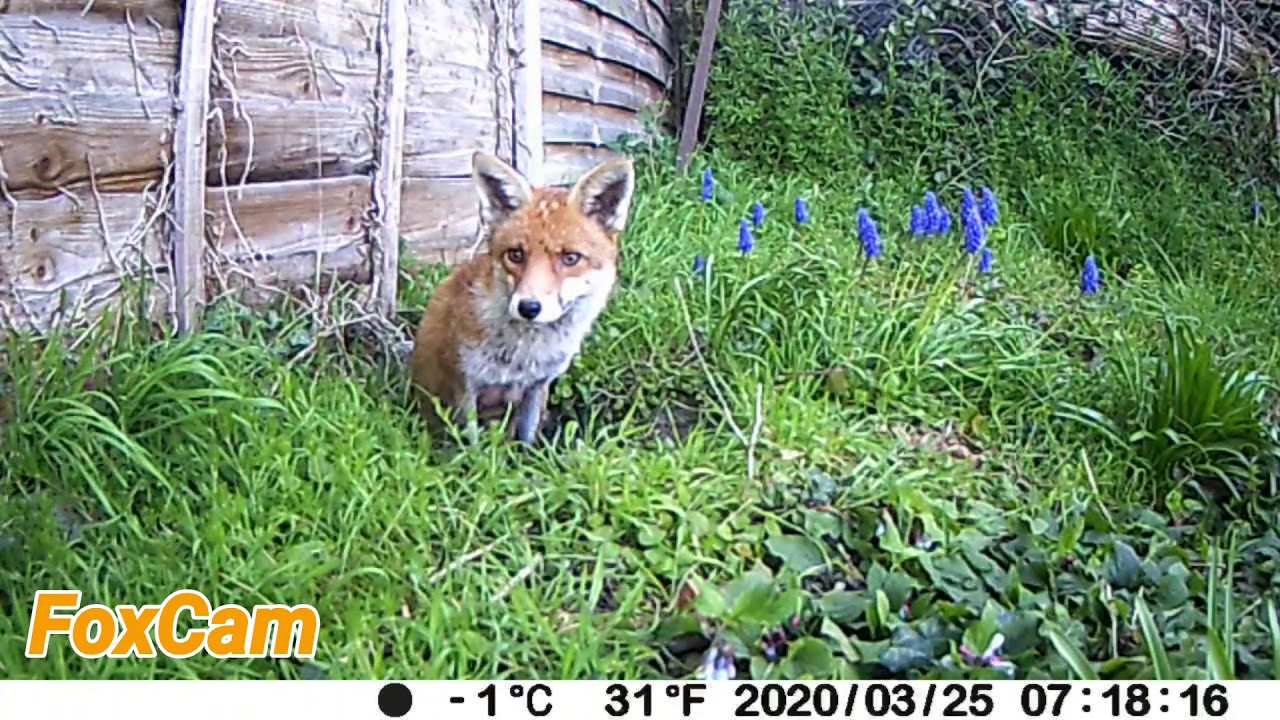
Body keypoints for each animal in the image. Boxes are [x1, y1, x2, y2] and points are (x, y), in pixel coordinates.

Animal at [409, 151, 636, 444]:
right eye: (515, 255)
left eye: (570, 258)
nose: (529, 307)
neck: (524, 356)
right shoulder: (465, 384)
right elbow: (472, 445)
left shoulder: (537, 386)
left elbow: (526, 440)